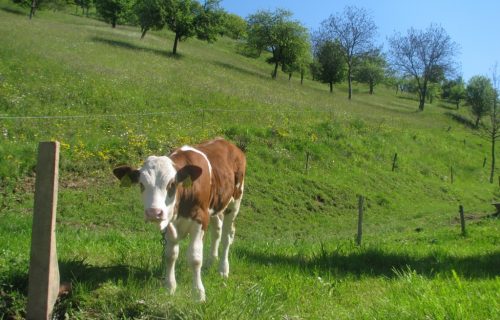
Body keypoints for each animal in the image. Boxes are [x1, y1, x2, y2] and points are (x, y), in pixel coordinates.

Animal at [113, 139, 246, 302]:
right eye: (142, 185)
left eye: (171, 184)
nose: (153, 213)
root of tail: (226, 142)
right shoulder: (169, 223)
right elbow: (170, 255)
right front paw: (170, 287)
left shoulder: (200, 219)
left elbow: (195, 258)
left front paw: (198, 293)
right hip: (216, 206)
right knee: (217, 231)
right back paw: (210, 262)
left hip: (235, 201)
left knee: (227, 236)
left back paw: (222, 269)